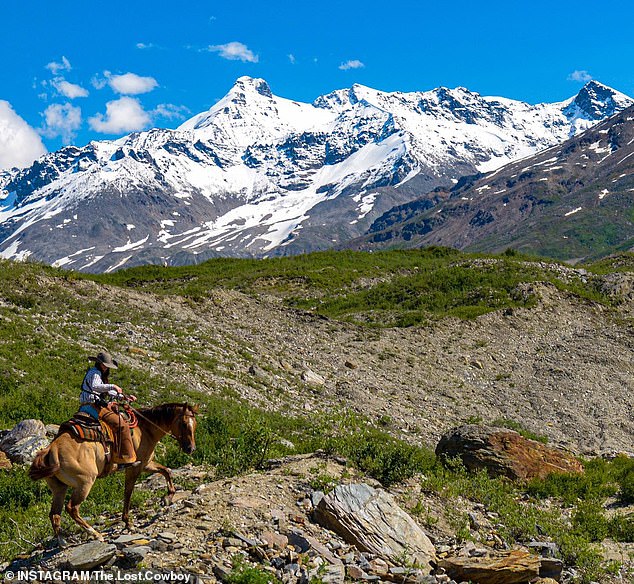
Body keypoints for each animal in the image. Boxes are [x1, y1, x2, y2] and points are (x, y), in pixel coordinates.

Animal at [29, 402, 198, 548]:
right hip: (85, 483)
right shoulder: (135, 468)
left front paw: (168, 497)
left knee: (54, 514)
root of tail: (51, 450)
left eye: (195, 424)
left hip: (59, 488)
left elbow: (166, 471)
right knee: (72, 508)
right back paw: (95, 534)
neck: (145, 430)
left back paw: (62, 542)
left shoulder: (146, 464)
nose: (191, 448)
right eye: (184, 424)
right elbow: (128, 493)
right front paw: (128, 523)